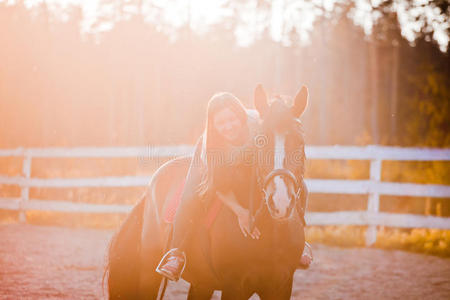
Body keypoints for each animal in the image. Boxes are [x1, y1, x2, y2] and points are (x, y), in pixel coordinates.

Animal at [105, 84, 310, 300]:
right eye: (260, 142)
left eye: (300, 141)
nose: (280, 201)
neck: (272, 236)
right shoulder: (234, 286)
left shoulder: (281, 285)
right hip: (148, 275)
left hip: (202, 283)